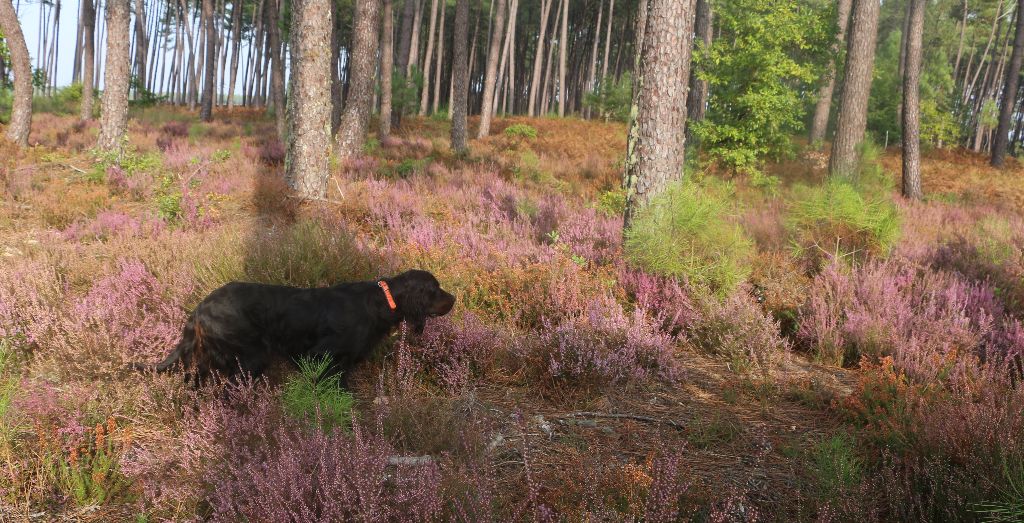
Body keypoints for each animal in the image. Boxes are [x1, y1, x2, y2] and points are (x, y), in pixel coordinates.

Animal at [134, 272, 454, 378]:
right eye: (436, 289)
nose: (455, 298)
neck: (379, 301)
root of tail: (201, 307)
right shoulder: (324, 356)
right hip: (250, 356)